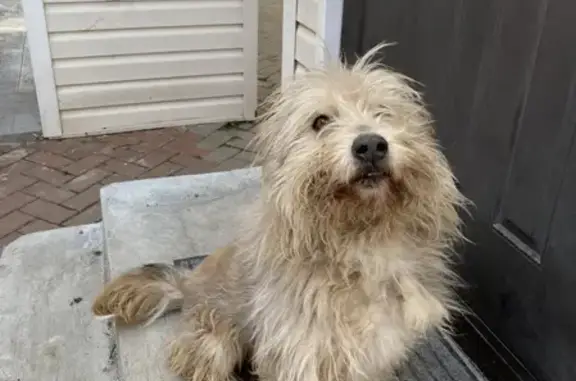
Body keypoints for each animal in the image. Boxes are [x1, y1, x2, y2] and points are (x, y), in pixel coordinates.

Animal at [92, 44, 466, 380]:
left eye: (383, 112)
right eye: (320, 121)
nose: (371, 145)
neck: (359, 238)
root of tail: (187, 283)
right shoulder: (300, 353)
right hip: (215, 342)